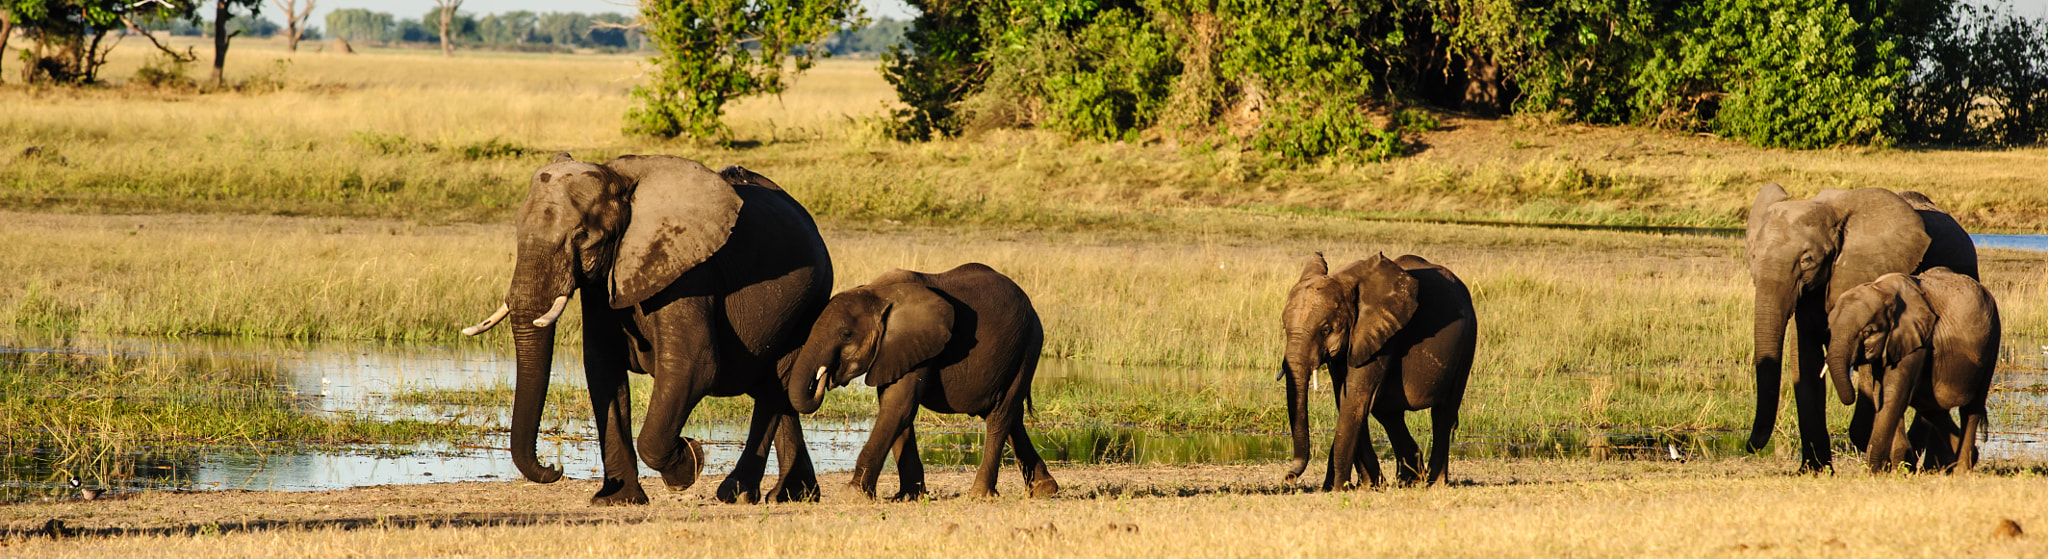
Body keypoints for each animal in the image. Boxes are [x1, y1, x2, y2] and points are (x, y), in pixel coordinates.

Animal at [462, 153, 831, 503]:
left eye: (582, 236)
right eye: (516, 228)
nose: (555, 468)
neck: (620, 180)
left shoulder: (688, 272)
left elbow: (693, 367)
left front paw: (689, 462)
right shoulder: (606, 281)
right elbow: (602, 368)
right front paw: (617, 500)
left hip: (806, 304)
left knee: (777, 383)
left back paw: (737, 495)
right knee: (780, 390)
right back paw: (794, 495)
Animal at [778, 264, 1056, 497]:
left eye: (846, 334)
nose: (824, 378)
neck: (878, 295)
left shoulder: (919, 343)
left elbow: (898, 407)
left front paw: (853, 494)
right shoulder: (894, 351)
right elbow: (896, 410)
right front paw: (908, 497)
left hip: (1027, 345)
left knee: (1000, 415)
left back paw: (980, 495)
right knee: (1011, 417)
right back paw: (1044, 490)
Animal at [1277, 250, 1474, 487]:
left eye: (1325, 329)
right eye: (1285, 326)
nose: (1288, 477)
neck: (1346, 281)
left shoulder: (1382, 335)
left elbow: (1355, 398)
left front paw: (1337, 488)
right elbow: (1346, 399)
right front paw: (1367, 486)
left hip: (1466, 344)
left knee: (1443, 413)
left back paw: (1433, 483)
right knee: (1389, 414)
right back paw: (1409, 480)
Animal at [1744, 184, 1982, 470]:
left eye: (1807, 260)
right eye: (1752, 256)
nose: (1750, 446)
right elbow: (1804, 358)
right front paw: (1812, 471)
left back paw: (1928, 464)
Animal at [1826, 268, 1998, 473]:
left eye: (1868, 332)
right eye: (1829, 328)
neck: (1881, 290)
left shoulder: (1916, 340)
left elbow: (1893, 396)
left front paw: (1876, 472)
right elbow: (1883, 396)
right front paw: (1900, 468)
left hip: (1991, 344)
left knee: (1970, 409)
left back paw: (1961, 470)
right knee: (1933, 408)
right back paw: (1969, 458)